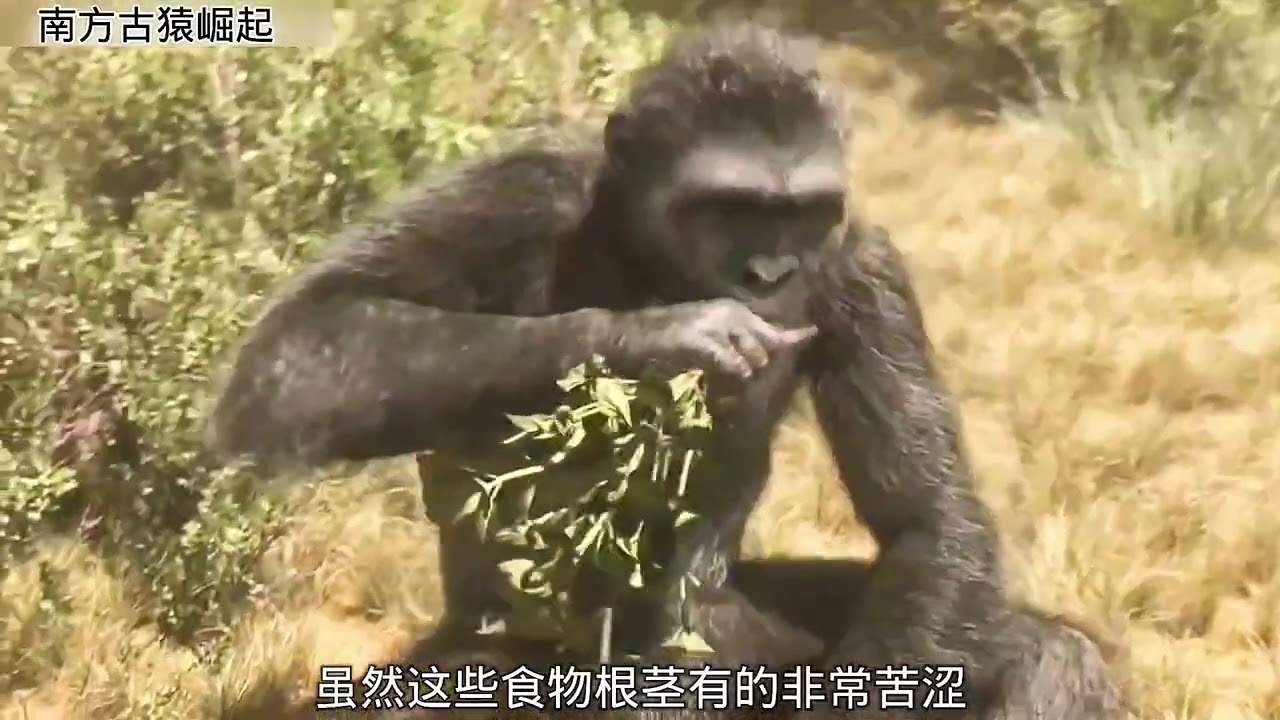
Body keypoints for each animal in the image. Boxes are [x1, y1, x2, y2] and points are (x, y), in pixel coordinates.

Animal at [211, 20, 1124, 720]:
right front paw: (667, 337)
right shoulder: (518, 188)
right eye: (729, 207)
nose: (768, 271)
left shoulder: (866, 268)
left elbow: (925, 522)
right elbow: (305, 341)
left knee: (1046, 648)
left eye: (802, 212)